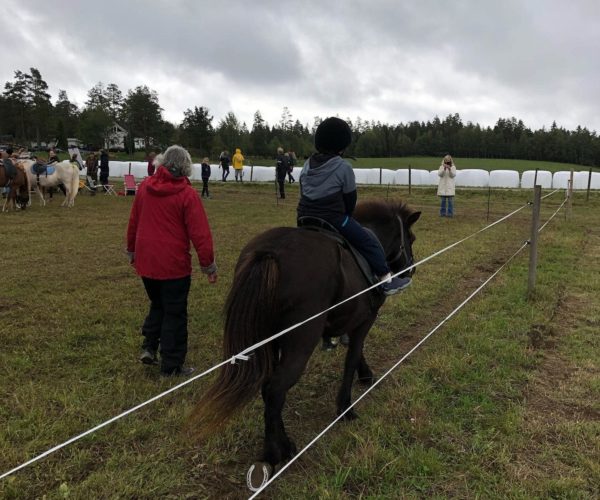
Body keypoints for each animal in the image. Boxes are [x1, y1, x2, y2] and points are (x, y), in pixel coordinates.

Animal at [192, 199, 422, 488]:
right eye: (410, 238)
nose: (411, 268)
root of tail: (269, 254)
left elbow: (353, 352)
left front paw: (365, 375)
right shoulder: (365, 320)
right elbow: (352, 357)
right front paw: (346, 407)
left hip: (270, 341)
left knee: (269, 387)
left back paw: (285, 445)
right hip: (301, 340)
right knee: (276, 388)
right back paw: (273, 454)